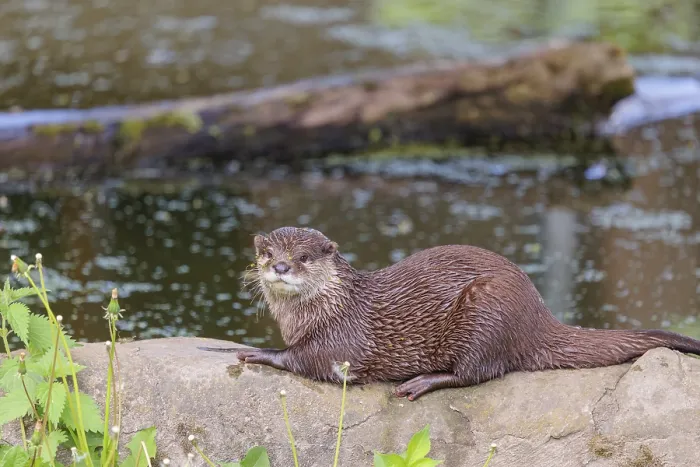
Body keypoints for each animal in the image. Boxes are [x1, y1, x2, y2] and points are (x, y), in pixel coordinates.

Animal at [199, 226, 700, 401]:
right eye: (267, 253)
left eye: (303, 257)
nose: (281, 267)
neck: (328, 309)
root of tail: (540, 316)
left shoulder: (341, 340)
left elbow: (307, 360)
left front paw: (258, 353)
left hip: (487, 310)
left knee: (479, 372)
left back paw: (419, 383)